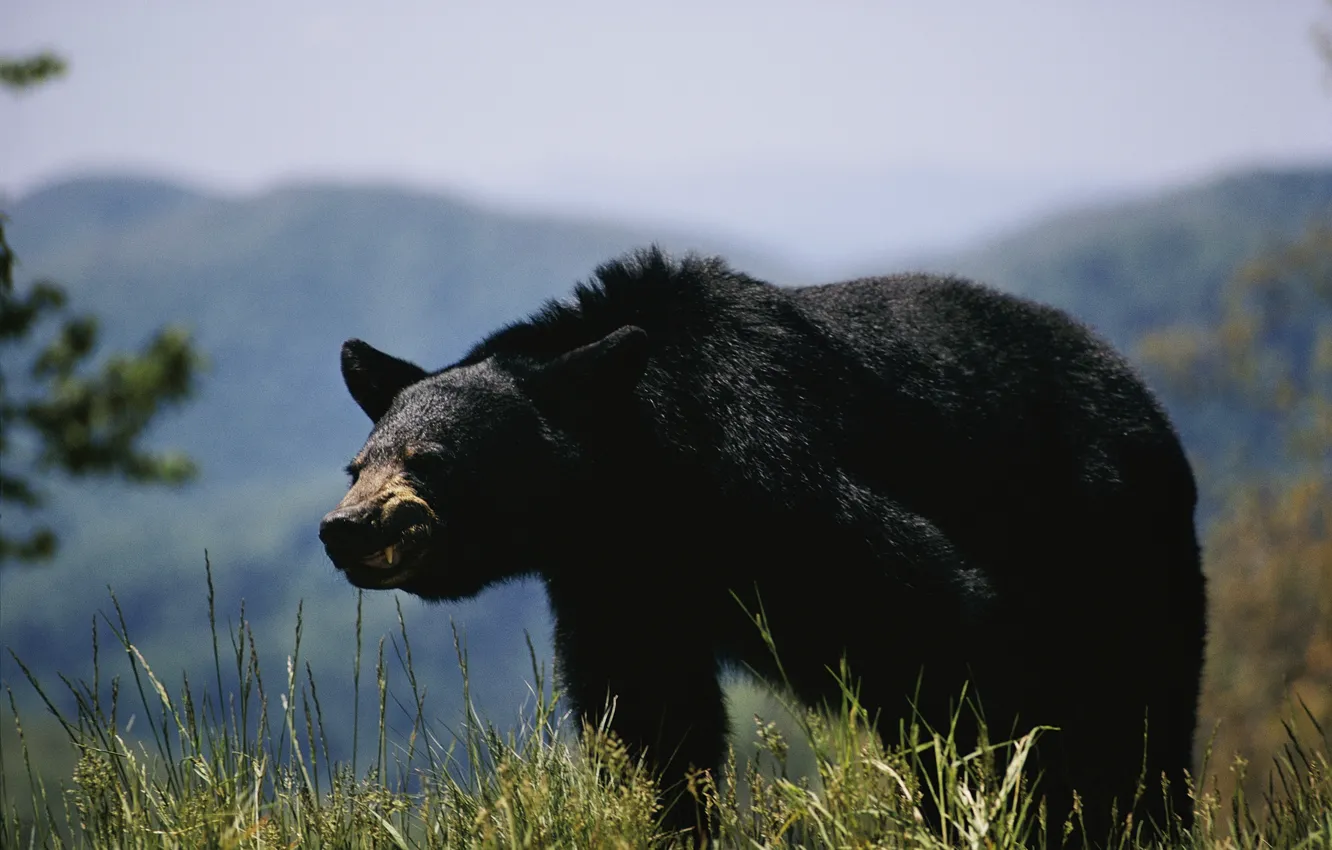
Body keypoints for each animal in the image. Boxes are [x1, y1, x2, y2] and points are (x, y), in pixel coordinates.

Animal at [319, 246, 1207, 845]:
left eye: (431, 459)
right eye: (357, 463)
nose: (347, 527)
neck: (646, 466)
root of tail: (1145, 398)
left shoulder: (773, 473)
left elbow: (928, 612)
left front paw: (979, 804)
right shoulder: (618, 573)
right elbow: (649, 714)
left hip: (1108, 533)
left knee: (1134, 704)